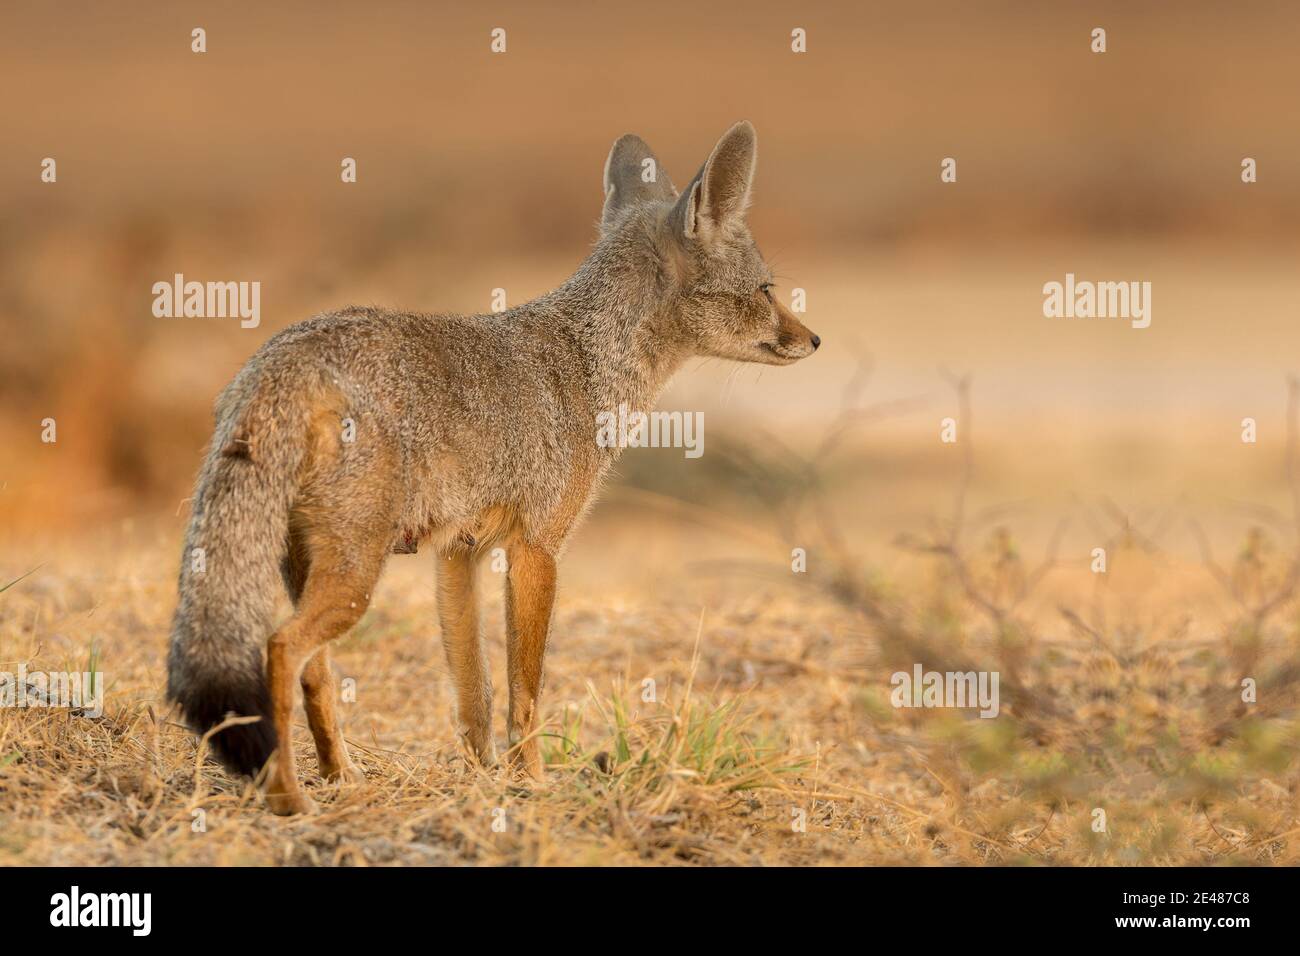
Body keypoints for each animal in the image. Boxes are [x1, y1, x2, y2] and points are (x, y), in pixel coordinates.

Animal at [166, 121, 820, 815]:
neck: (588, 361)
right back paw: (290, 796)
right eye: (767, 290)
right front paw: (532, 781)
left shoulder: (461, 553)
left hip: (308, 566)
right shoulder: (537, 548)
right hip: (354, 575)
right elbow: (525, 689)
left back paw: (342, 777)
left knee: (314, 670)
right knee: (282, 649)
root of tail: (279, 360)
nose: (814, 340)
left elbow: (473, 688)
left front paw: (483, 777)